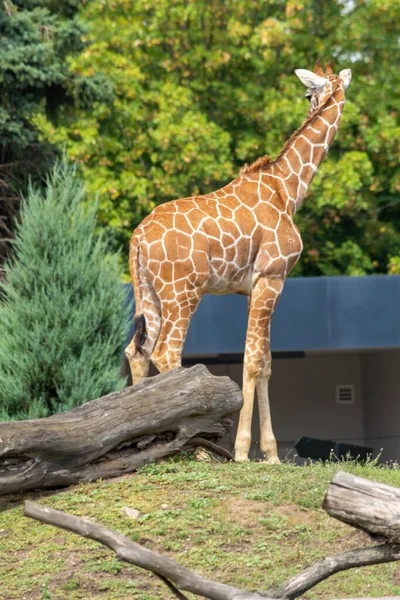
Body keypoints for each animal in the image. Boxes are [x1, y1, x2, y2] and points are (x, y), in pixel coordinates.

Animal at [126, 59, 354, 464]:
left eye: (309, 93)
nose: (313, 105)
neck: (288, 189)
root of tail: (138, 237)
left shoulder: (254, 286)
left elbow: (266, 362)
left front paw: (273, 454)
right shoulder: (272, 276)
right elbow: (252, 360)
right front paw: (245, 451)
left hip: (148, 292)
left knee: (137, 351)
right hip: (182, 291)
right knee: (167, 351)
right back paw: (197, 450)